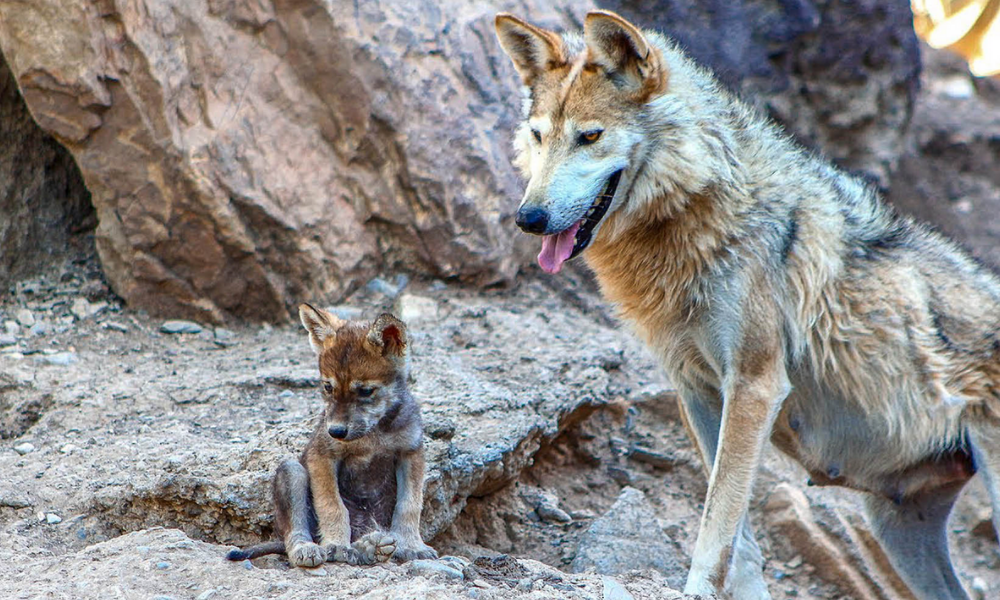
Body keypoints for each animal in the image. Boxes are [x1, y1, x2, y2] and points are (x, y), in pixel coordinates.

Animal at [494, 10, 1000, 600]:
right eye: (539, 135)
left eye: (589, 136)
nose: (528, 218)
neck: (702, 213)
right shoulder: (697, 390)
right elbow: (738, 538)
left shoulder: (755, 386)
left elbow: (718, 519)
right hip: (897, 534)